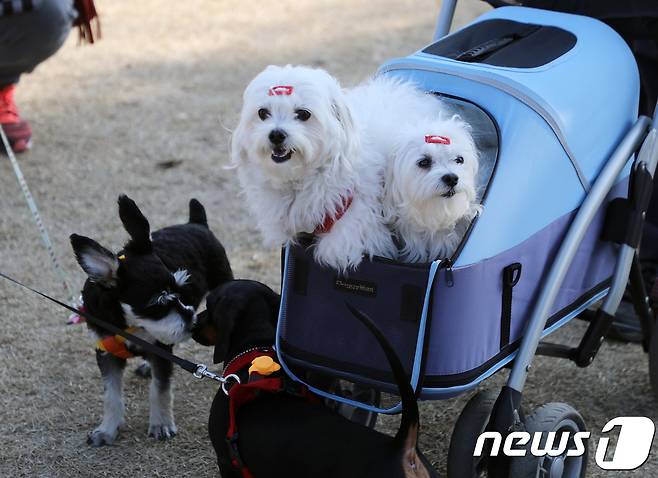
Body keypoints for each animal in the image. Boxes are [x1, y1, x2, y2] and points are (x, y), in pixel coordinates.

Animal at [69, 195, 232, 448]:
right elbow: (111, 395)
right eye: (158, 303)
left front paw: (161, 425)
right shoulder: (106, 353)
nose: (192, 322)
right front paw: (106, 430)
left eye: (181, 289)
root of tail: (196, 223)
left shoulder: (161, 350)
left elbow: (159, 390)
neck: (129, 324)